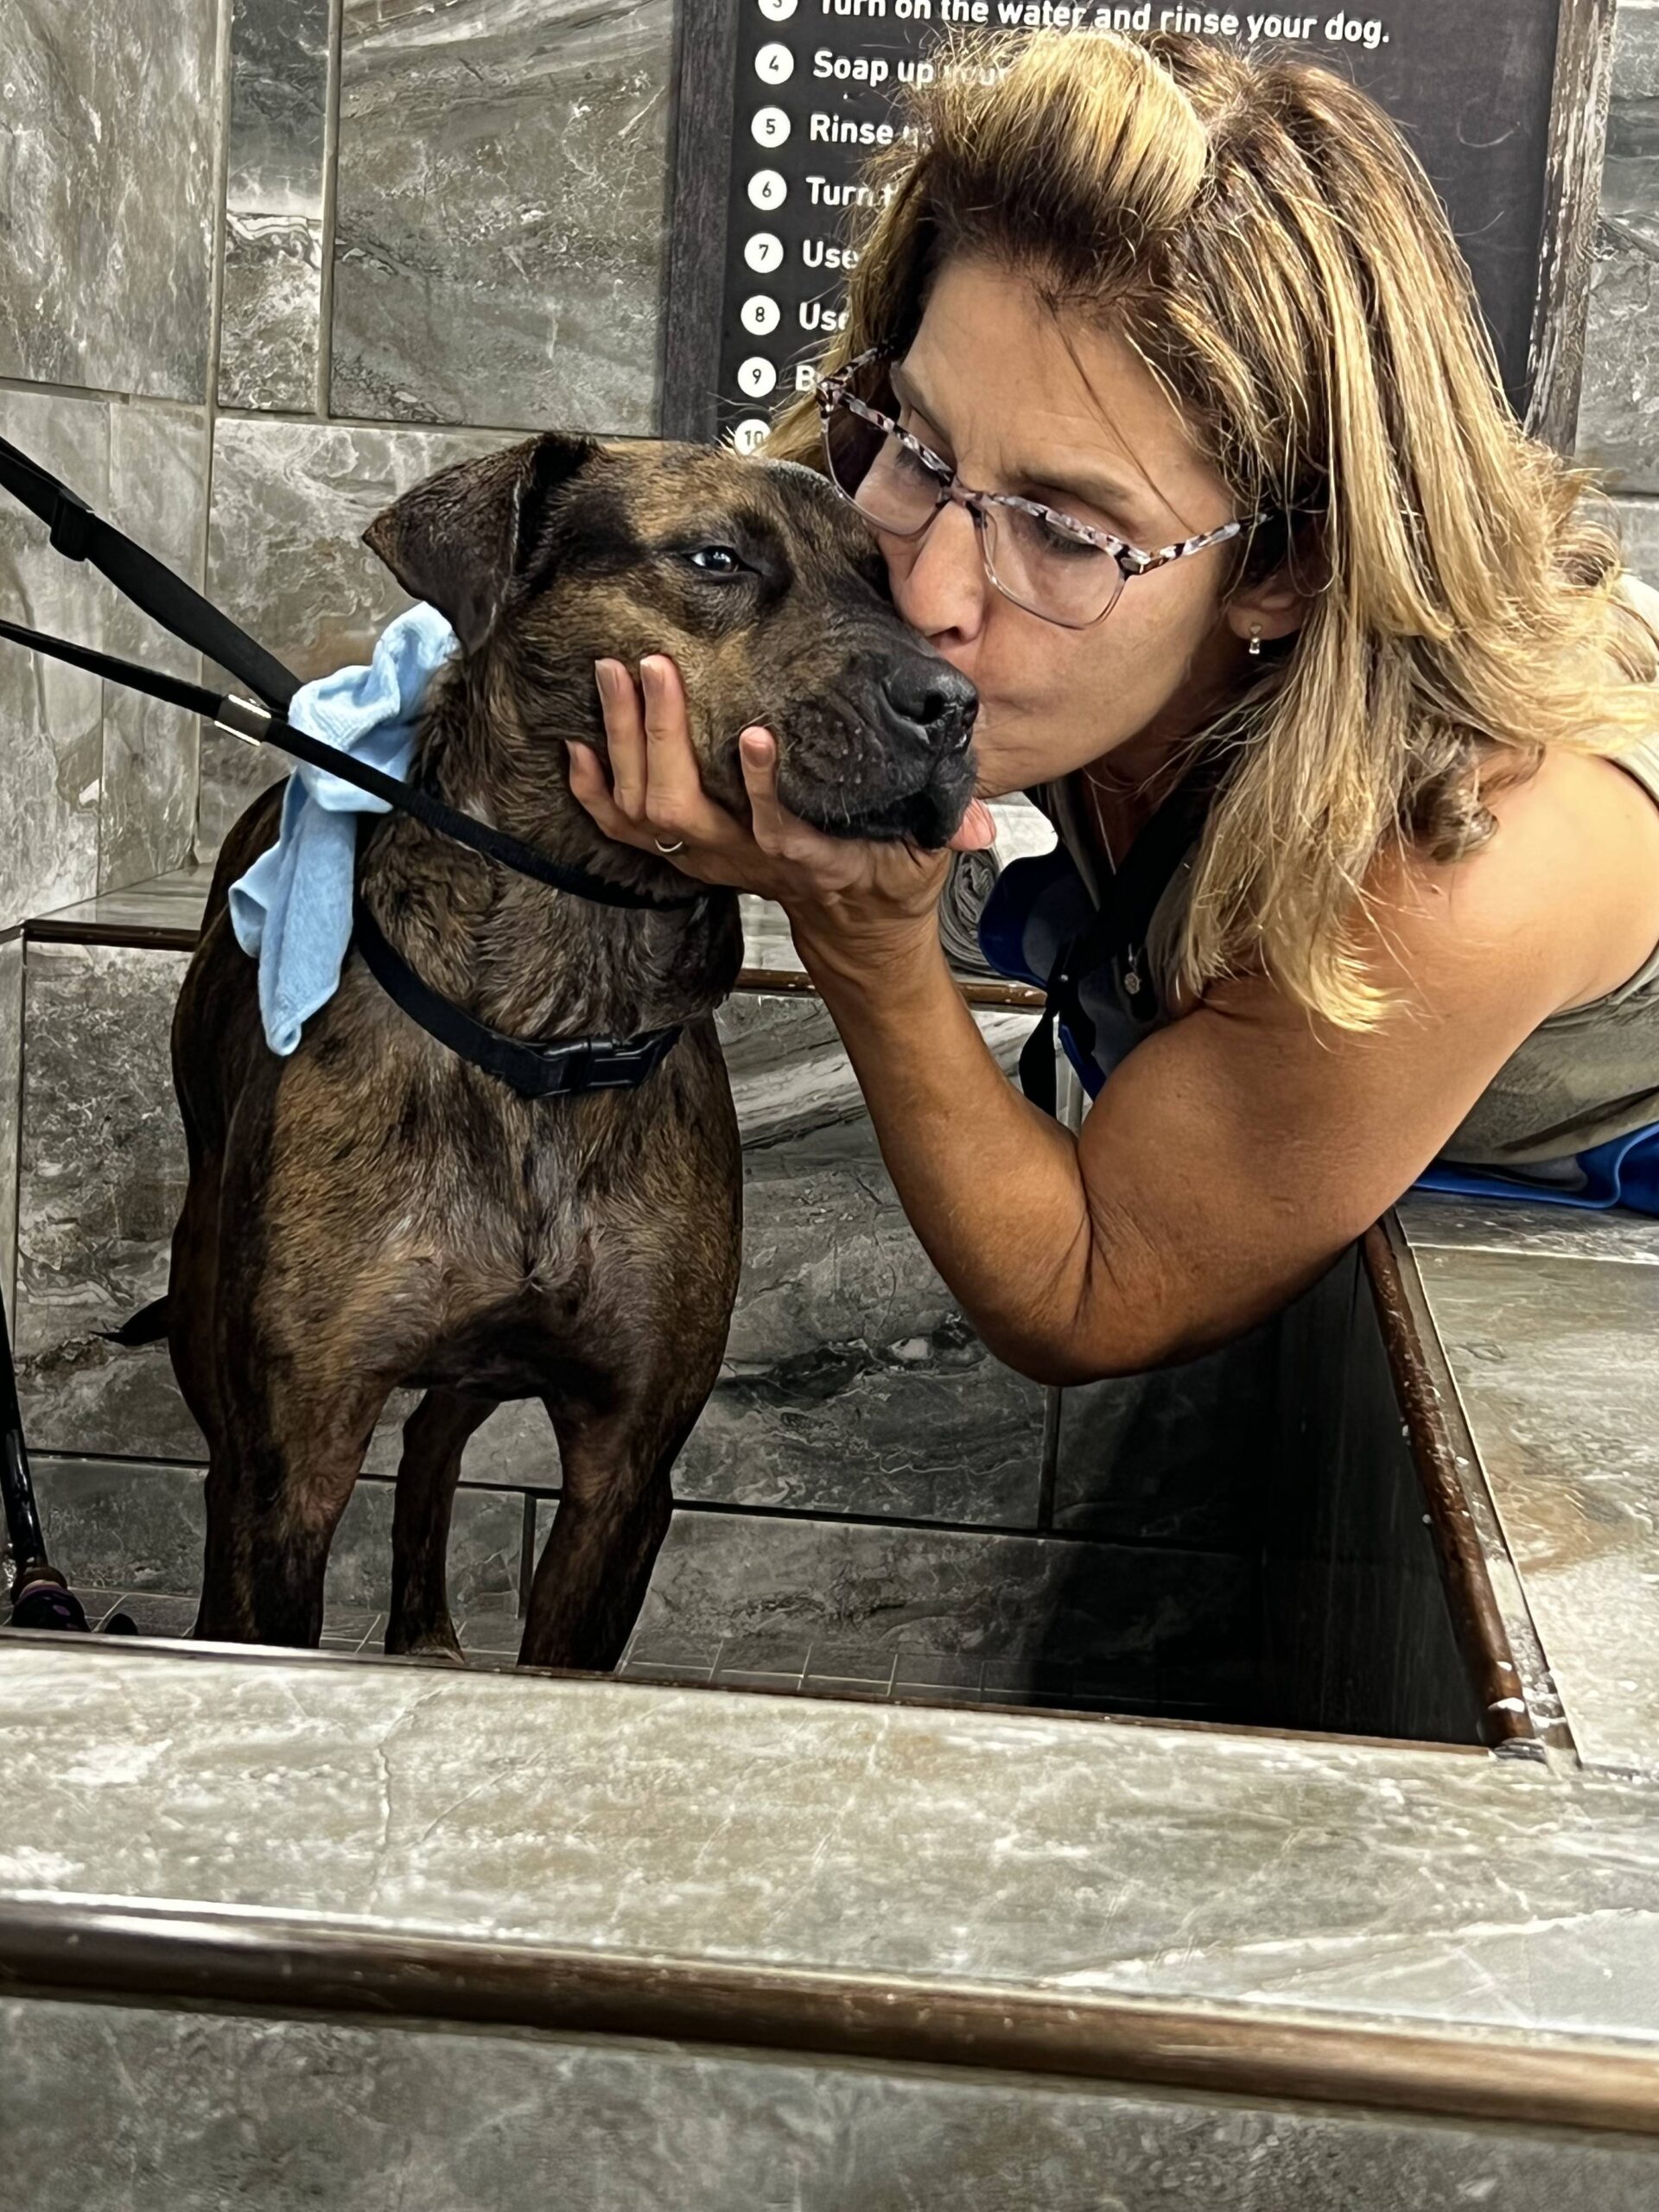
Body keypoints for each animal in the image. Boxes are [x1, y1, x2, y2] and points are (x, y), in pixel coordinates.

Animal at [160, 431, 973, 1663]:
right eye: (717, 557)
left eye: (885, 580)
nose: (954, 704)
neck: (556, 1011)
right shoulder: (293, 1461)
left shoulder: (625, 1473)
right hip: (207, 1284)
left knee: (436, 1443)